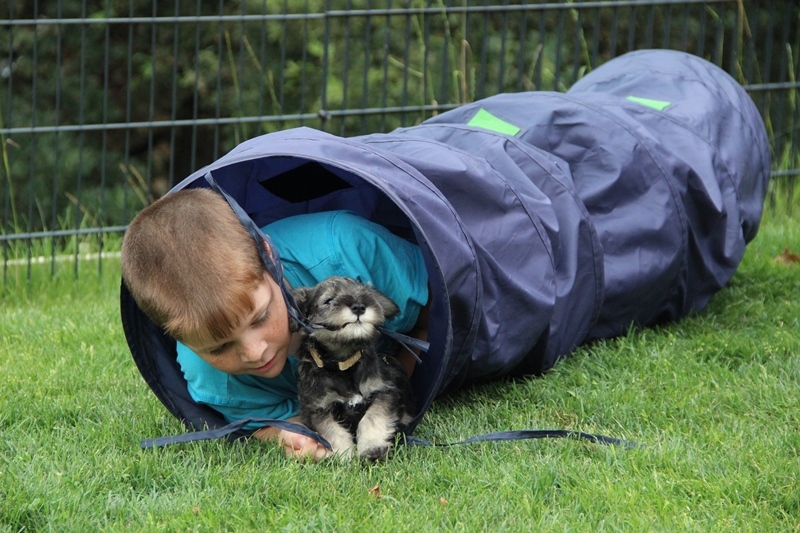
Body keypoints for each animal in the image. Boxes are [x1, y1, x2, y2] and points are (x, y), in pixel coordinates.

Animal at [294, 276, 416, 460]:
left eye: (364, 293)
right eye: (328, 300)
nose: (359, 306)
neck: (343, 366)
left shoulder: (384, 392)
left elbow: (372, 417)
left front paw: (372, 446)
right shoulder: (317, 409)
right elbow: (333, 430)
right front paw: (344, 455)